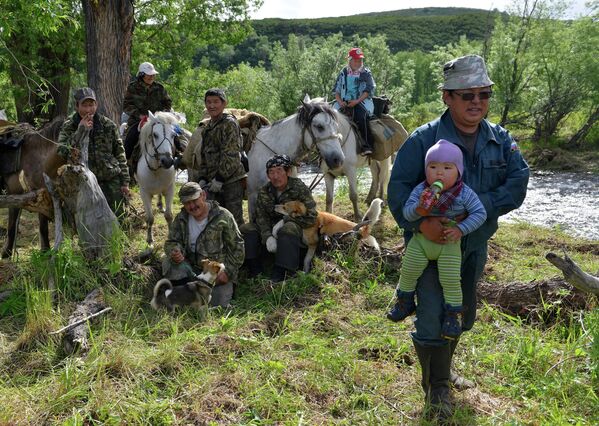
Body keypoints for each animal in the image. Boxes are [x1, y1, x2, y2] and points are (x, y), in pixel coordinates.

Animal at [1, 120, 65, 258]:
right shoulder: (14, 194)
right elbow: (12, 225)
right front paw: (6, 253)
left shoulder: (42, 197)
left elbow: (43, 227)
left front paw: (45, 251)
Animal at [137, 111, 179, 245]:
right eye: (155, 135)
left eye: (173, 135)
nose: (167, 161)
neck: (156, 170)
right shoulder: (144, 193)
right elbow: (150, 218)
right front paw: (149, 239)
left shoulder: (170, 189)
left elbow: (169, 216)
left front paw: (171, 236)